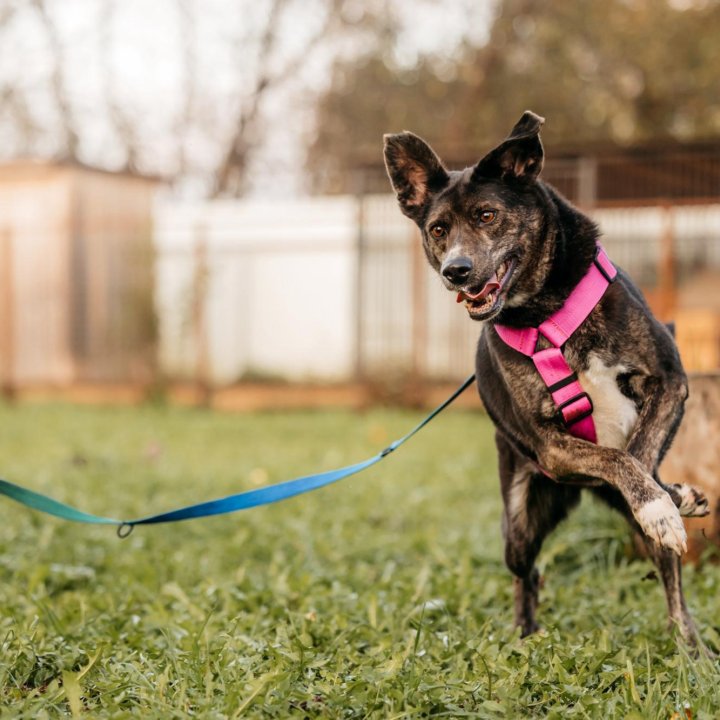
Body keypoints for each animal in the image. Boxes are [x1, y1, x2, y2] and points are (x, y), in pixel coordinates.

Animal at [382, 114, 708, 648]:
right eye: (438, 228)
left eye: (488, 215)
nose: (456, 271)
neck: (546, 312)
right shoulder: (551, 446)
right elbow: (617, 458)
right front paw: (659, 501)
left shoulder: (669, 381)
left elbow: (637, 455)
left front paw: (663, 503)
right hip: (518, 522)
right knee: (527, 573)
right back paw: (524, 633)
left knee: (672, 587)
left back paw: (691, 645)